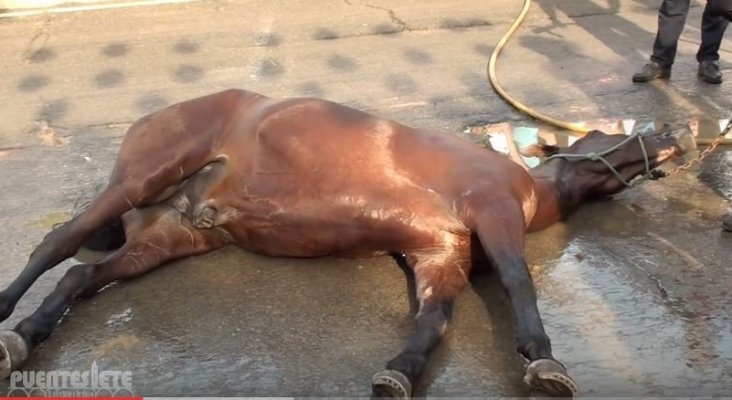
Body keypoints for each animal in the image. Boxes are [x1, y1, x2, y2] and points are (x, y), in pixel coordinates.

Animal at [0, 89, 696, 398]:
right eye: (608, 129)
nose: (678, 133)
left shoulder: (440, 253)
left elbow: (434, 321)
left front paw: (400, 372)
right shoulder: (492, 213)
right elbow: (520, 282)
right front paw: (545, 363)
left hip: (173, 233)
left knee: (82, 276)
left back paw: (25, 338)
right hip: (140, 179)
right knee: (57, 244)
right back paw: (8, 320)